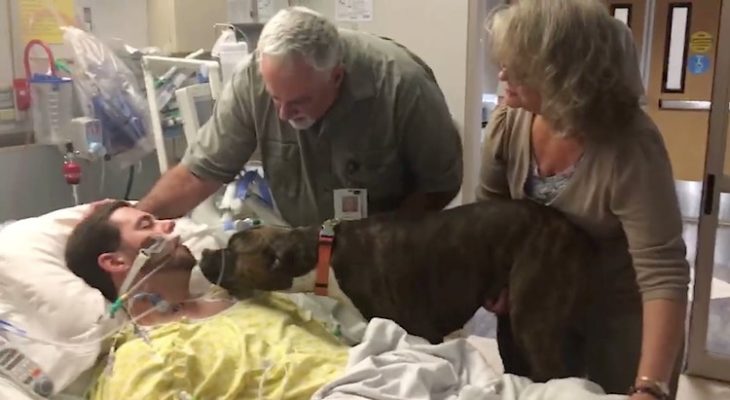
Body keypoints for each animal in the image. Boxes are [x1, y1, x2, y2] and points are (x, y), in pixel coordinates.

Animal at [198, 198, 592, 382]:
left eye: (232, 250)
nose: (204, 254)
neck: (325, 252)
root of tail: (566, 225)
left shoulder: (421, 333)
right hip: (510, 327)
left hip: (532, 325)